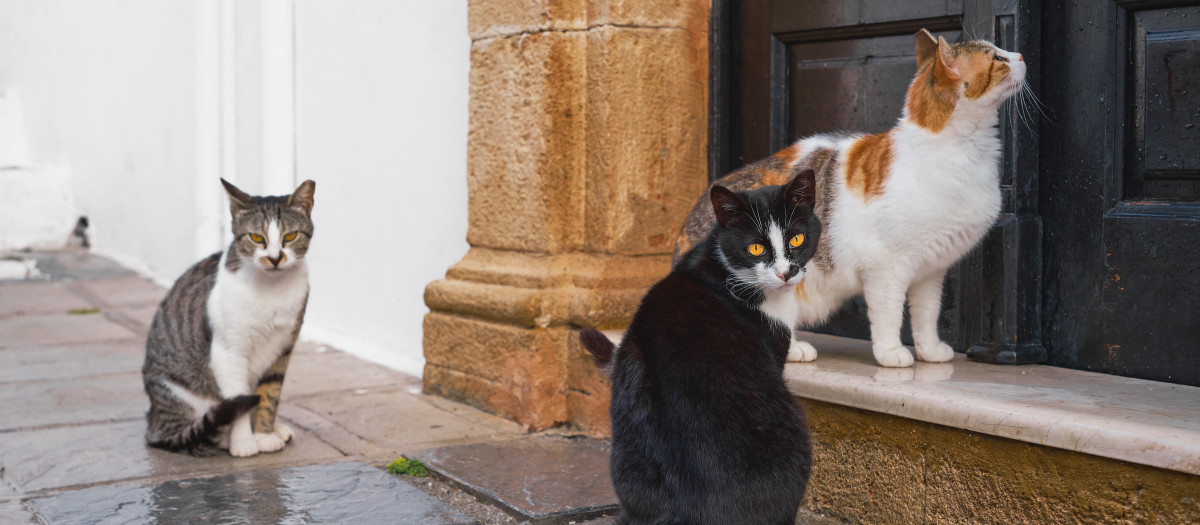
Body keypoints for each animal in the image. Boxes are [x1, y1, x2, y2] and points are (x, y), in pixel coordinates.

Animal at [141, 179, 314, 455]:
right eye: (257, 238)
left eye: (289, 236)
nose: (275, 258)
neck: (271, 289)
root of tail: (153, 421)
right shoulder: (229, 351)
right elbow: (237, 399)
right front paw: (244, 442)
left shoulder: (282, 349)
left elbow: (270, 395)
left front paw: (264, 434)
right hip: (177, 393)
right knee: (190, 430)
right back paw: (222, 438)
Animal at [681, 28, 1027, 364]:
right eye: (997, 58)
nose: (1022, 55)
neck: (962, 150)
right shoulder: (884, 264)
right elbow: (888, 312)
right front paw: (891, 353)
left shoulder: (931, 270)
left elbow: (926, 313)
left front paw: (929, 350)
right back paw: (793, 349)